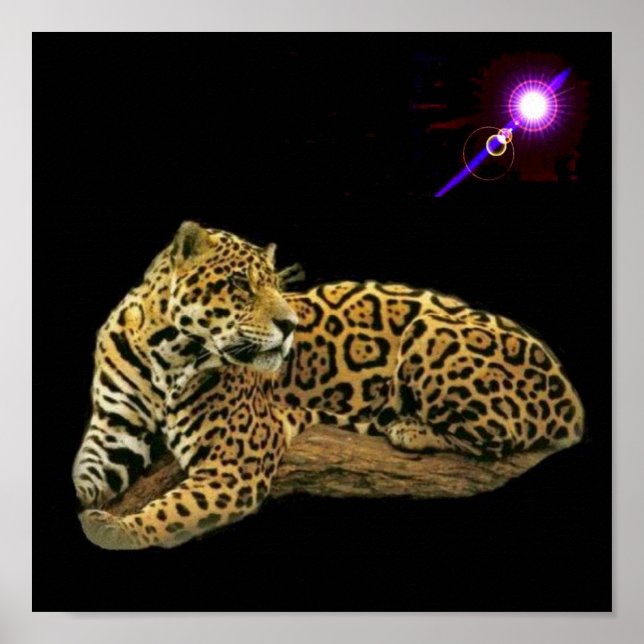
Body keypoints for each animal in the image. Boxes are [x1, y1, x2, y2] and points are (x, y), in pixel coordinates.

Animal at [73, 221, 584, 549]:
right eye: (240, 285)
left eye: (277, 285)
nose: (290, 325)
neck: (165, 350)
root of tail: (570, 394)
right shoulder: (116, 430)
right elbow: (85, 473)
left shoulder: (235, 462)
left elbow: (172, 510)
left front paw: (119, 531)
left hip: (433, 330)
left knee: (496, 439)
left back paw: (408, 428)